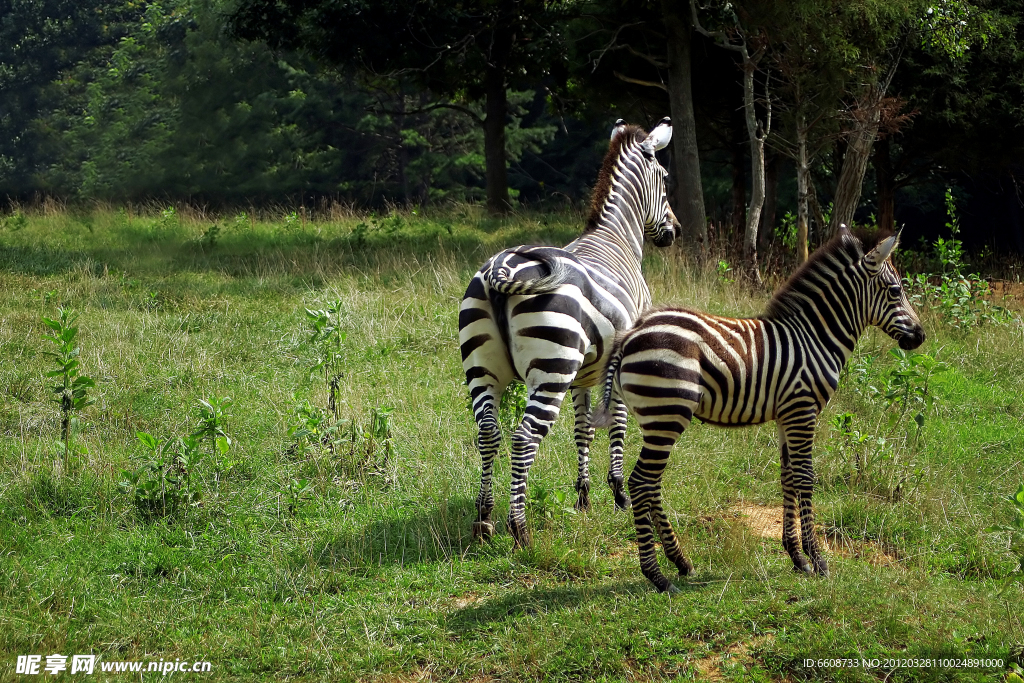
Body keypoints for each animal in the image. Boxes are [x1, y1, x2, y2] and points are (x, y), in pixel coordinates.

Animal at [464, 116, 679, 544]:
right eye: (664, 178)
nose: (674, 231)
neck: (616, 237)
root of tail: (500, 271)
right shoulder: (621, 359)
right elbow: (617, 422)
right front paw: (618, 491)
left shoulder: (585, 372)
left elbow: (584, 430)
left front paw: (583, 496)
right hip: (552, 368)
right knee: (524, 437)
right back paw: (519, 528)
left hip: (484, 368)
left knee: (489, 432)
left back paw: (484, 518)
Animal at [593, 227, 929, 589]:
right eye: (896, 291)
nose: (921, 336)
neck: (815, 338)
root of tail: (632, 332)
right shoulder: (803, 410)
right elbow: (806, 478)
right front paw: (818, 559)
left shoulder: (786, 415)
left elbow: (789, 477)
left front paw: (797, 556)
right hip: (667, 413)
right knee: (641, 482)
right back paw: (657, 576)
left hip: (656, 417)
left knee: (651, 484)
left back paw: (680, 562)